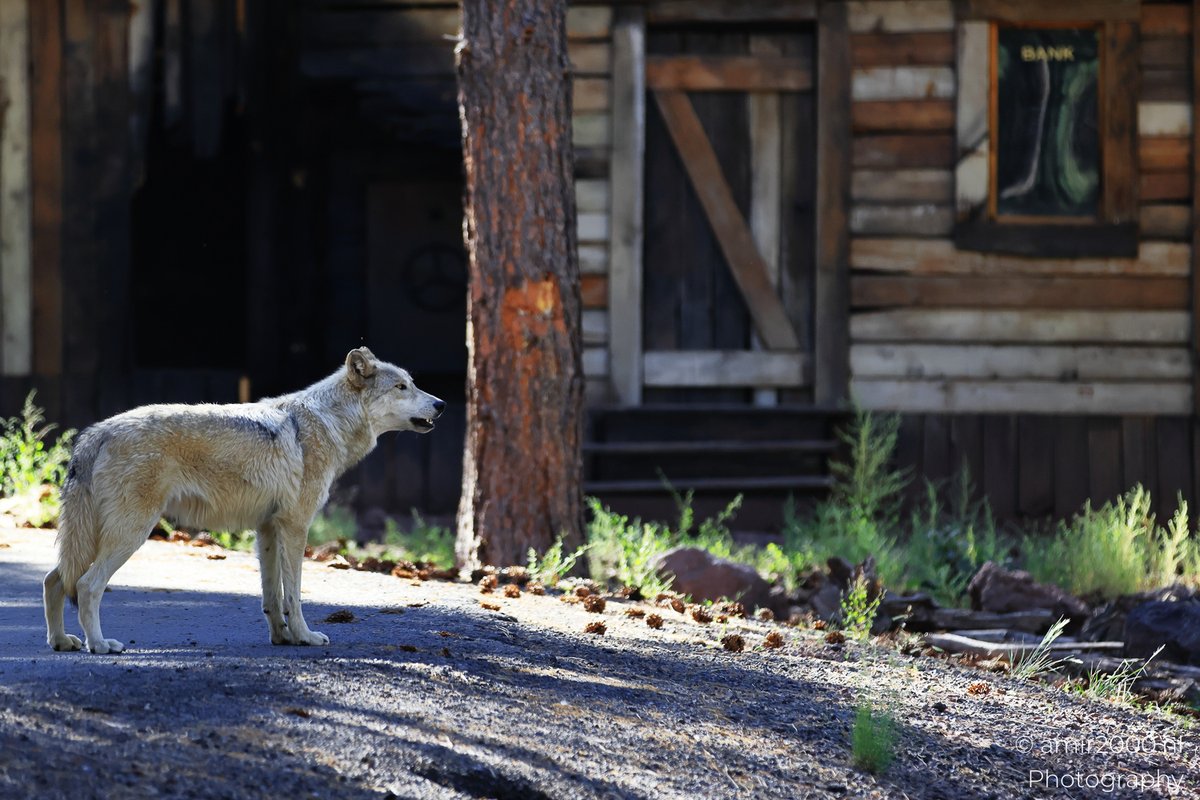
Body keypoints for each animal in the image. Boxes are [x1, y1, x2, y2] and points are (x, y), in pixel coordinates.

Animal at [43, 347, 444, 654]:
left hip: (95, 537)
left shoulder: (267, 529)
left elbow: (272, 597)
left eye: (412, 383)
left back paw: (62, 642)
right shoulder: (295, 527)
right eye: (402, 386)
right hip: (131, 534)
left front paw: (282, 638)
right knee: (86, 586)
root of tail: (97, 432)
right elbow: (294, 594)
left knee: (53, 580)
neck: (327, 422)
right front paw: (305, 637)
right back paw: (99, 645)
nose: (441, 404)